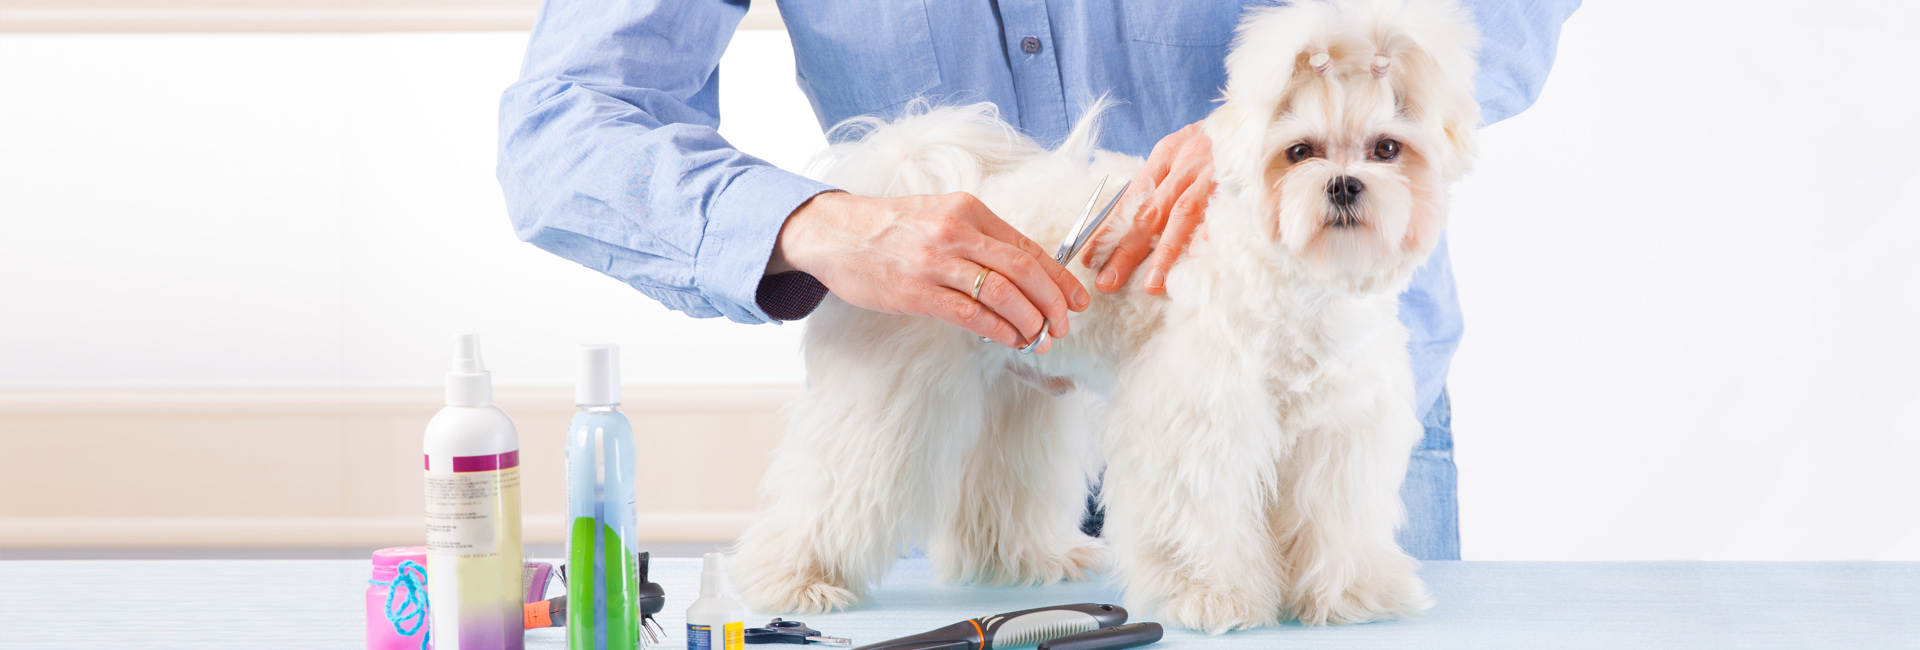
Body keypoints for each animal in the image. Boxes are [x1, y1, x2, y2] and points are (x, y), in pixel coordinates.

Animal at [725, 0, 1474, 632]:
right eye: (1300, 152)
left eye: (1386, 149)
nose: (1344, 185)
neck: (1300, 286)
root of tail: (910, 184)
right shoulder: (1197, 425)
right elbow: (1200, 521)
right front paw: (1212, 597)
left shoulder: (1338, 435)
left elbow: (1335, 522)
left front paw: (1350, 594)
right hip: (888, 402)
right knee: (829, 487)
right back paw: (798, 581)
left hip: (1014, 398)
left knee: (996, 490)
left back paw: (1025, 561)